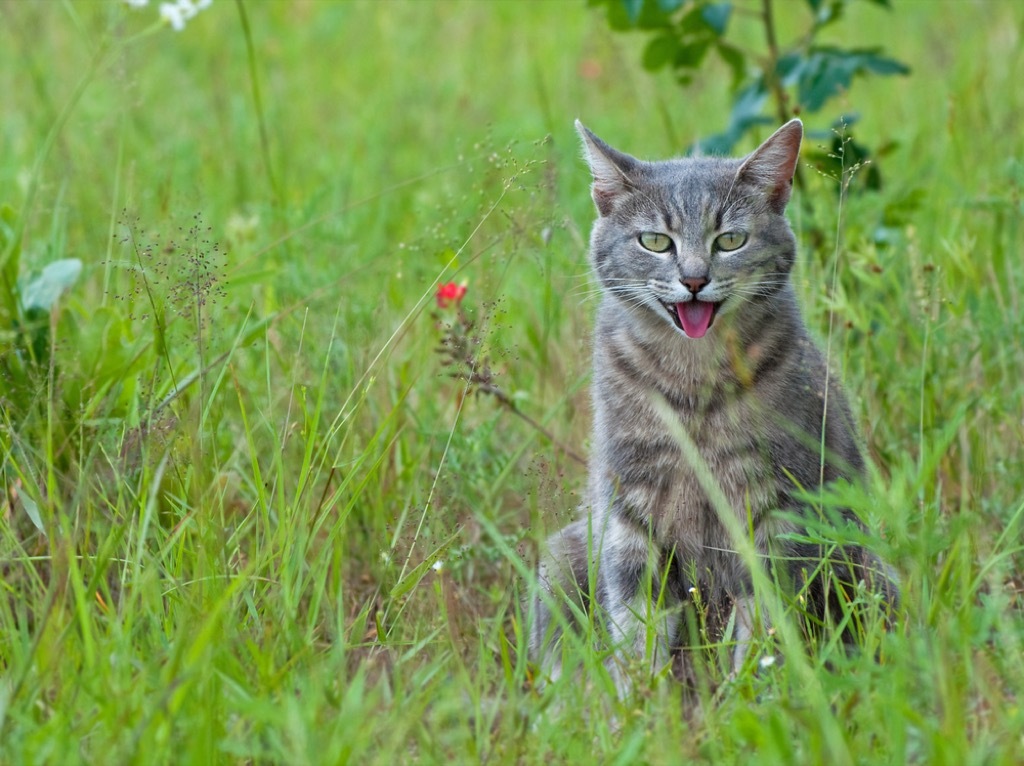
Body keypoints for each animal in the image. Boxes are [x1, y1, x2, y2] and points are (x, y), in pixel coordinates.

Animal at [532, 118, 901, 692]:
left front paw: (751, 698)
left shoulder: (777, 513)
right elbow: (637, 630)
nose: (694, 279)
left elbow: (765, 631)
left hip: (870, 571)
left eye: (730, 239)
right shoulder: (631, 515)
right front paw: (642, 706)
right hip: (560, 561)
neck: (693, 384)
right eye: (655, 241)